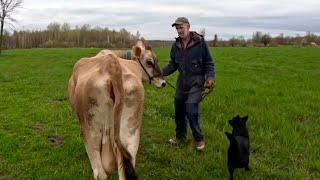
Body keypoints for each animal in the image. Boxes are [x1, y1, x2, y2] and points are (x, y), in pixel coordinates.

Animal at [68, 41, 166, 180]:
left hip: (91, 131)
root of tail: (112, 65)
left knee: (100, 173)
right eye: (149, 62)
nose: (163, 82)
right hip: (131, 133)